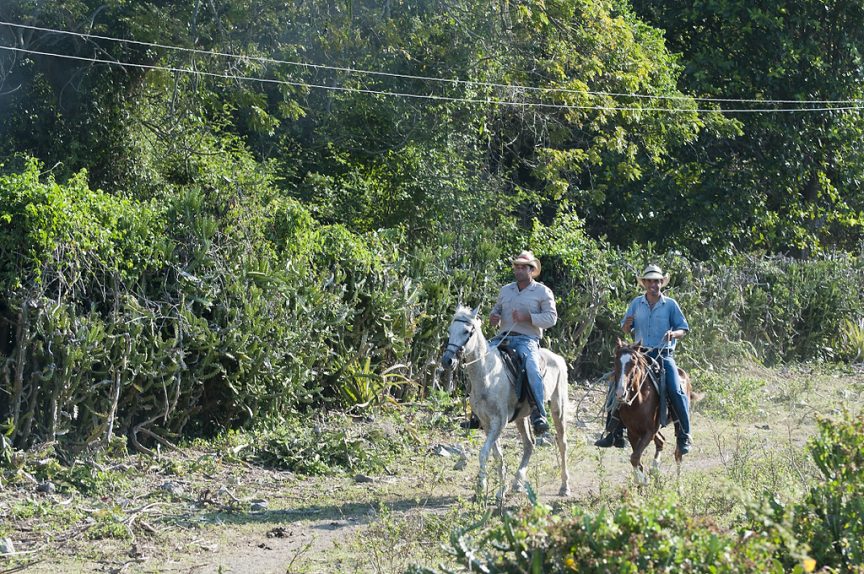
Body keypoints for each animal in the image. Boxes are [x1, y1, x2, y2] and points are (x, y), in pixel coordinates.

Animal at [442, 304, 572, 502]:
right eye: (450, 330)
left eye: (466, 332)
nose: (447, 360)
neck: (487, 375)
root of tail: (558, 358)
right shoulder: (487, 423)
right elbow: (496, 454)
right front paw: (495, 489)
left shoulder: (499, 422)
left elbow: (484, 452)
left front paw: (482, 487)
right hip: (521, 417)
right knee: (529, 444)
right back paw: (517, 482)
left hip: (559, 408)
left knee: (562, 443)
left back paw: (565, 486)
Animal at [612, 340, 692, 484]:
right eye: (616, 361)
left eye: (634, 363)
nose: (621, 393)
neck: (639, 400)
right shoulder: (632, 432)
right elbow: (636, 459)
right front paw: (640, 482)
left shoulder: (649, 431)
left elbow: (634, 458)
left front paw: (642, 480)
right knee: (661, 441)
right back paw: (655, 469)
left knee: (678, 453)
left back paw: (679, 486)